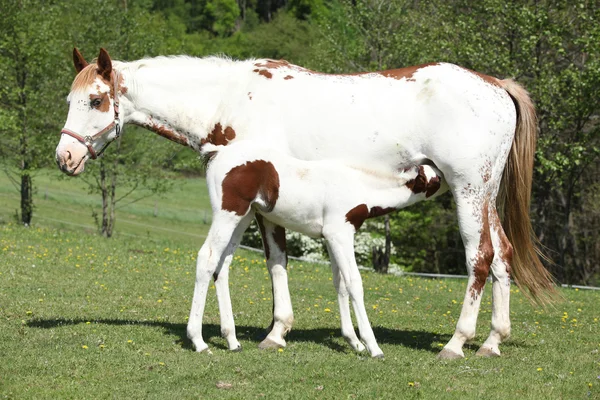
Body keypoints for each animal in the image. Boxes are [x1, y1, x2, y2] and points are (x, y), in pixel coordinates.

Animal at [55, 47, 552, 360]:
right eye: (70, 98)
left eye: (95, 100)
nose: (65, 157)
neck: (233, 98)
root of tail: (495, 85)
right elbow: (279, 265)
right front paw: (280, 333)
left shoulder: (263, 204)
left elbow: (277, 262)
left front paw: (277, 332)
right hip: (485, 196)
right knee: (503, 256)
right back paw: (491, 341)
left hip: (468, 192)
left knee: (480, 258)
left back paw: (456, 343)